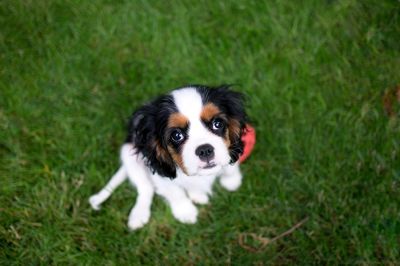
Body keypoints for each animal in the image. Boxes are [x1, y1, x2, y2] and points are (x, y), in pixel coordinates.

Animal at [89, 84, 248, 230]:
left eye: (217, 123)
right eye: (176, 135)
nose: (205, 150)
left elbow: (230, 165)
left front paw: (231, 180)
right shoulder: (161, 172)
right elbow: (175, 192)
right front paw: (185, 212)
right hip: (129, 155)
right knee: (145, 188)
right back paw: (139, 215)